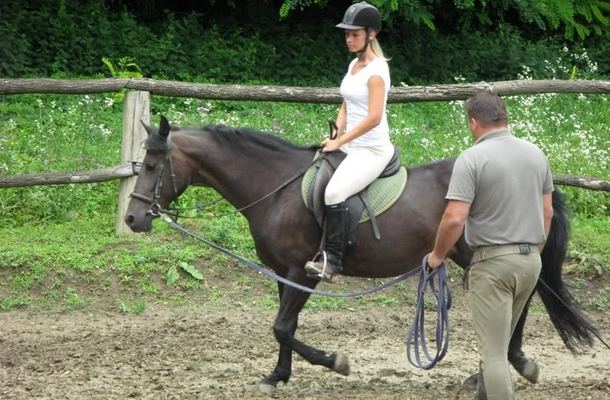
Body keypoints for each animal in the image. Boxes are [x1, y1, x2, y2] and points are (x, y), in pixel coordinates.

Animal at [124, 116, 598, 393]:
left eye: (152, 166)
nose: (132, 218)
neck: (274, 187)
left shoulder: (305, 271)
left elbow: (282, 326)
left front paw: (335, 362)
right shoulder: (284, 272)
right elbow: (283, 327)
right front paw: (278, 375)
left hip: (479, 257)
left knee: (518, 303)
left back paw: (504, 368)